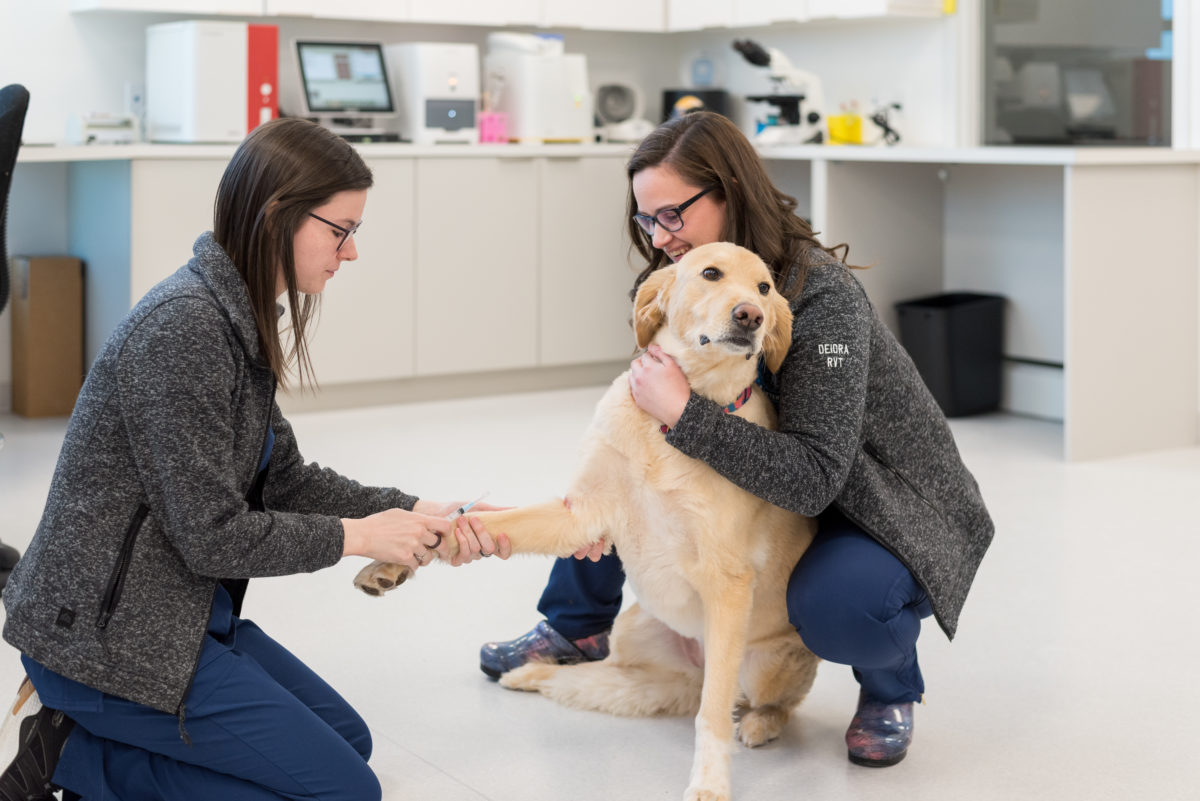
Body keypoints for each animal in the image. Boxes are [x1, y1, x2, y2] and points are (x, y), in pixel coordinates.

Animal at [352, 244, 816, 801]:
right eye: (711, 273)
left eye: (765, 288)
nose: (750, 316)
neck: (671, 422)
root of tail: (695, 661)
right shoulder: (581, 513)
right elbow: (476, 523)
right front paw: (391, 561)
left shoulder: (726, 582)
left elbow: (712, 717)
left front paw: (709, 783)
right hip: (634, 639)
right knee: (602, 678)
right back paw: (530, 674)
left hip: (761, 663)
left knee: (751, 703)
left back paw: (759, 723)